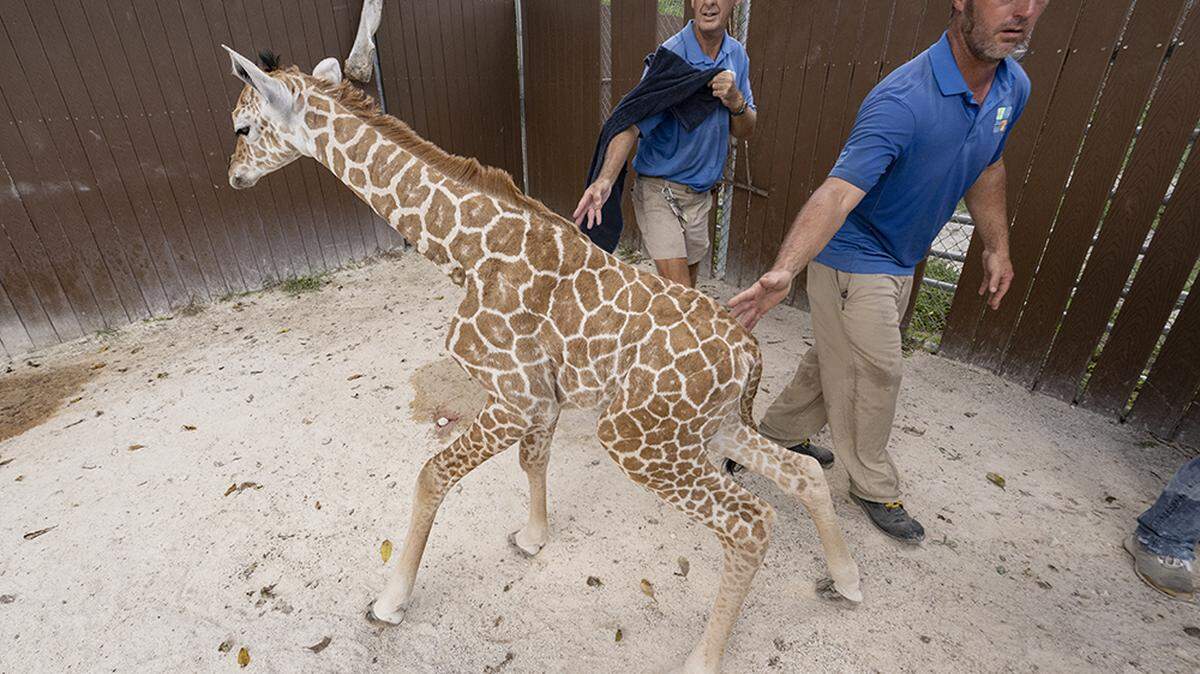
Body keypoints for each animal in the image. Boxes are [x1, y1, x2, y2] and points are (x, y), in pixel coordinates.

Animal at [221, 46, 862, 673]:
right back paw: (847, 582)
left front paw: (390, 601)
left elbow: (431, 476)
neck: (464, 252)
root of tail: (749, 352)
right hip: (706, 429)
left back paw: (703, 658)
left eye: (243, 126)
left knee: (751, 523)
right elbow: (532, 462)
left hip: (637, 439)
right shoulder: (542, 398)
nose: (234, 176)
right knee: (802, 474)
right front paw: (532, 538)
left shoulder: (514, 395)